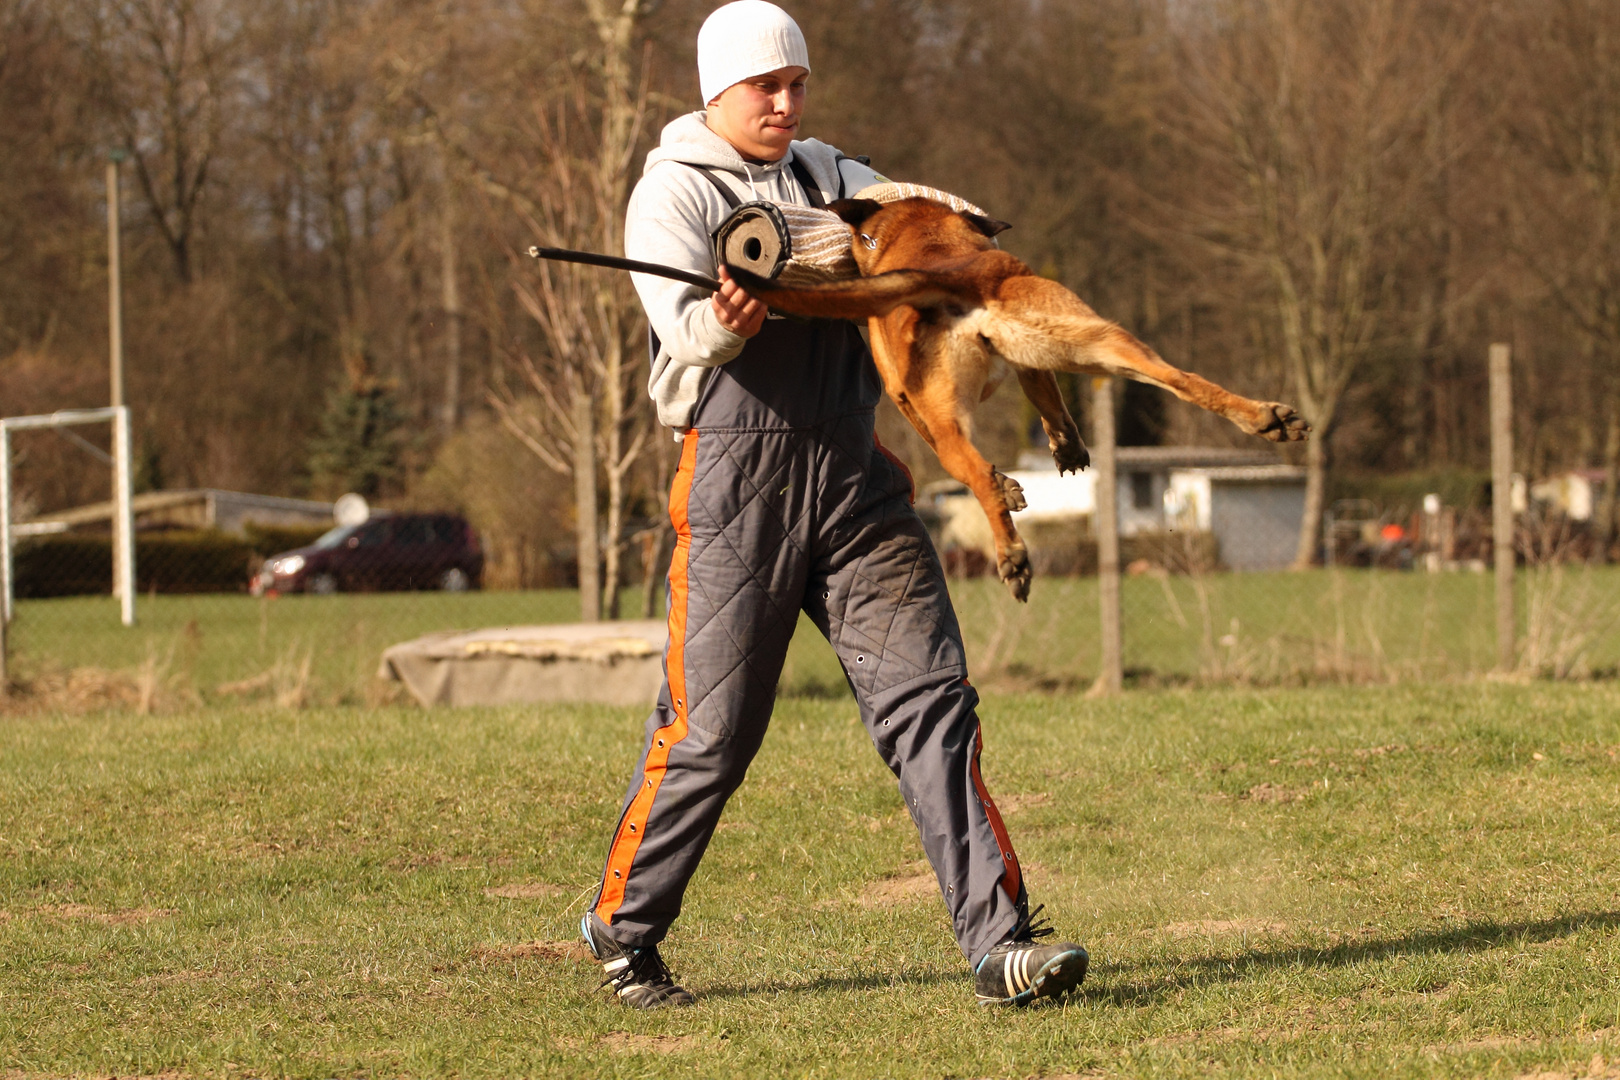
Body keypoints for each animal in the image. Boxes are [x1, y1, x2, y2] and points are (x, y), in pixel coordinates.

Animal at [729, 194, 1308, 599]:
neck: (923, 237)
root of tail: (958, 278)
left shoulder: (903, 396)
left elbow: (954, 447)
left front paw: (1010, 486)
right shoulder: (1033, 364)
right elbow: (1052, 405)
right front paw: (1067, 449)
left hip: (952, 419)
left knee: (974, 475)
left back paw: (1012, 556)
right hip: (1102, 340)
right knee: (1181, 378)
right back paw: (1268, 419)